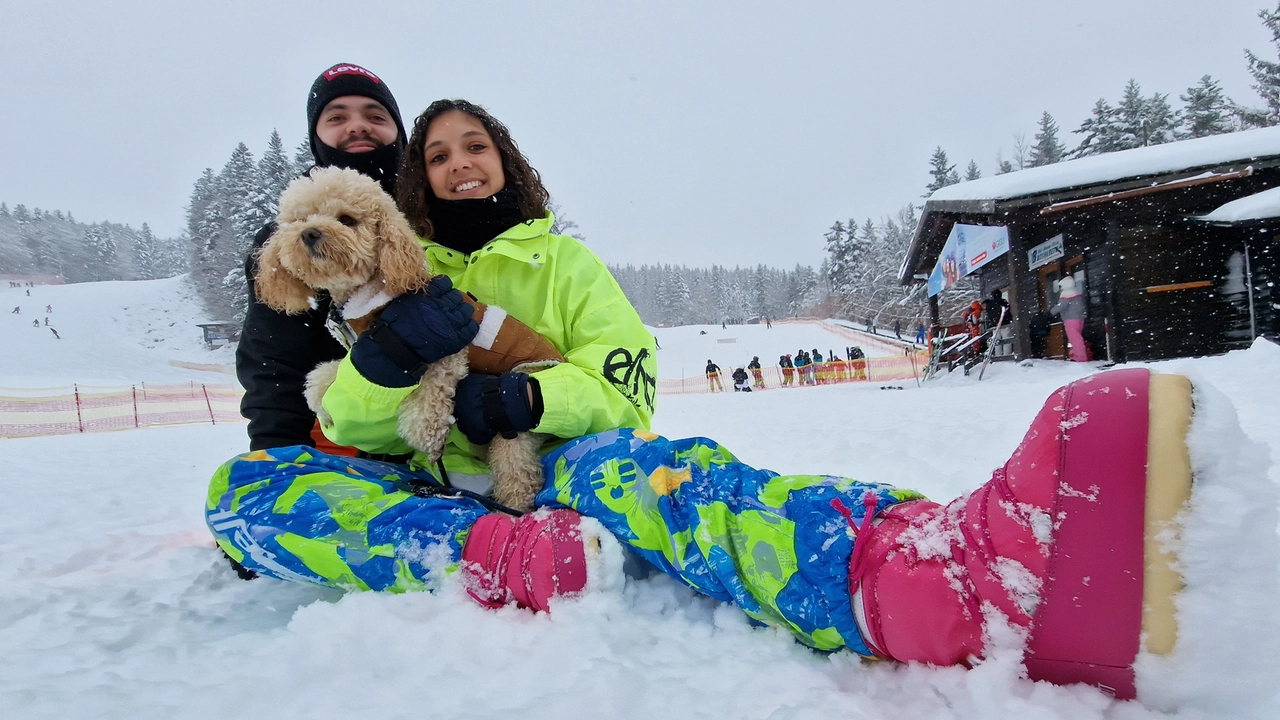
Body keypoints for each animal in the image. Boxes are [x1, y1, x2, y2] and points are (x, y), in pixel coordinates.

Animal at [257, 165, 563, 507]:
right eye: (300, 219)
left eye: (347, 219)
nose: (309, 233)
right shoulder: (367, 350)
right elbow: (334, 373)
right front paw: (320, 398)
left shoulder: (446, 350)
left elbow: (429, 399)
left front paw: (427, 437)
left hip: (511, 417)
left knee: (517, 471)